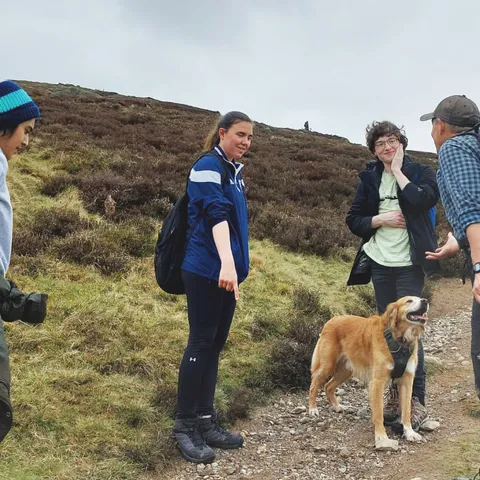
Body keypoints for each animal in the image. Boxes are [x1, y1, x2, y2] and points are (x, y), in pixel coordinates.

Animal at [308, 296, 428, 451]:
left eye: (419, 298)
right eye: (409, 301)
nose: (425, 301)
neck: (400, 340)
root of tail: (331, 320)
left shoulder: (407, 381)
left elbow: (406, 410)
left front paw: (409, 432)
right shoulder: (377, 382)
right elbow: (378, 414)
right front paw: (381, 437)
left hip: (346, 371)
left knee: (328, 386)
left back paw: (337, 406)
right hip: (327, 365)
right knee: (314, 385)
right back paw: (312, 409)